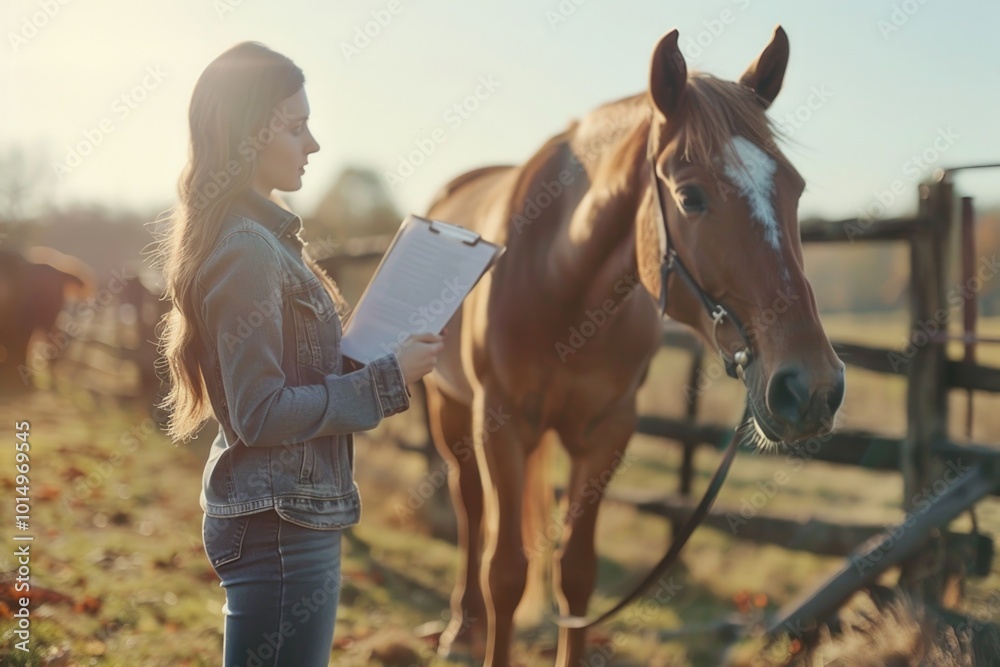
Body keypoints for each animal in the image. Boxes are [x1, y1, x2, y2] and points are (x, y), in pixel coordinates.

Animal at [420, 26, 846, 666]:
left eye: (794, 189)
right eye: (690, 197)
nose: (813, 387)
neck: (561, 285)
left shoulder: (609, 431)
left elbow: (575, 574)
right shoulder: (500, 423)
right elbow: (506, 572)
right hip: (449, 408)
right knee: (470, 508)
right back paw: (459, 627)